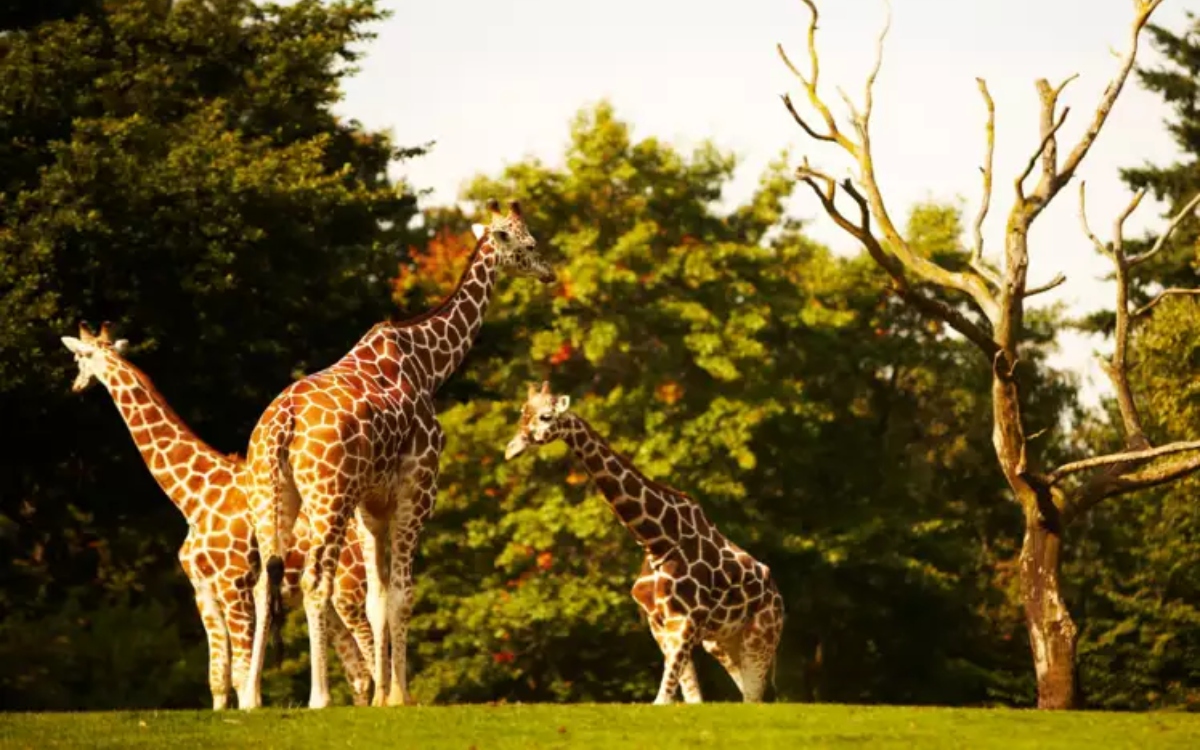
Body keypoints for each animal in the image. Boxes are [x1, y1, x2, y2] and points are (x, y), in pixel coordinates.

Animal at [60, 321, 376, 705]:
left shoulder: (233, 584)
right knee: (358, 671)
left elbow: (242, 676)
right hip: (328, 603)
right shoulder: (203, 590)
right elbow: (218, 677)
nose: (76, 386)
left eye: (79, 357)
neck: (193, 497)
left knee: (372, 652)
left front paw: (251, 706)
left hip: (348, 592)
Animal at [244, 199, 561, 705]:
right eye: (529, 243)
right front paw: (399, 697)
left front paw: (380, 697)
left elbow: (377, 600)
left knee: (260, 584)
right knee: (315, 581)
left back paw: (251, 697)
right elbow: (402, 595)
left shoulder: (371, 508)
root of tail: (282, 423)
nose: (549, 272)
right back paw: (319, 697)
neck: (430, 365)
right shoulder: (417, 492)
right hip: (328, 498)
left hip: (271, 494)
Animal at [504, 379, 787, 700]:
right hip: (723, 643)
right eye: (522, 413)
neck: (657, 541)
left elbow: (662, 698)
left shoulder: (685, 622)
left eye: (546, 417)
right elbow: (690, 698)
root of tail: (777, 596)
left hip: (760, 637)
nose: (511, 449)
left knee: (754, 696)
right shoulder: (660, 625)